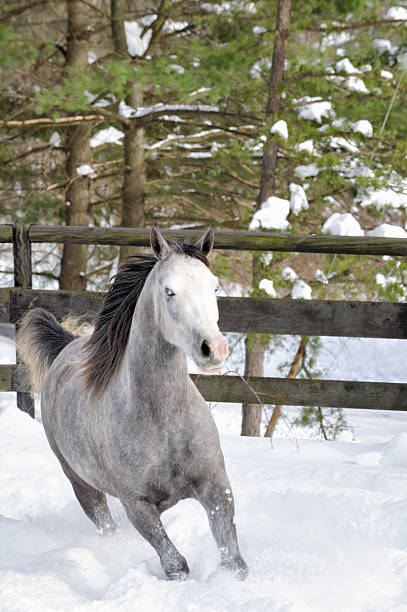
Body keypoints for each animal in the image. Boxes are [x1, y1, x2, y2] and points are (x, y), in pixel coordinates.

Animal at [17, 227, 249, 580]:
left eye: (214, 286)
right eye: (169, 291)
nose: (214, 349)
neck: (162, 420)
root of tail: (66, 347)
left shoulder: (216, 488)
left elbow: (234, 561)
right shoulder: (137, 504)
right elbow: (175, 564)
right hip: (82, 486)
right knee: (106, 526)